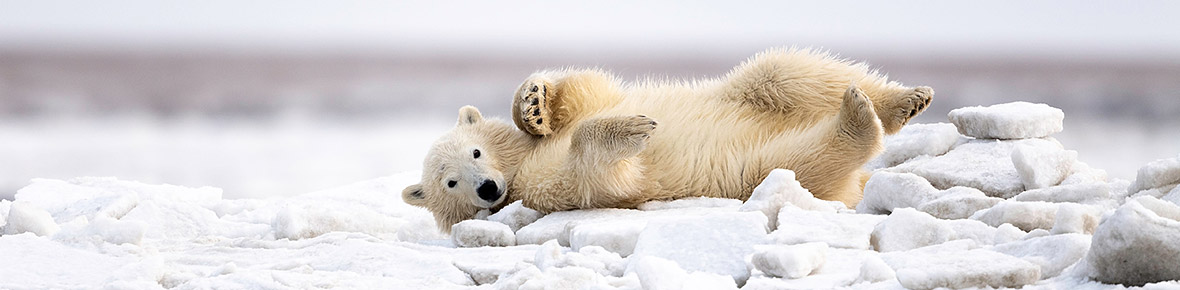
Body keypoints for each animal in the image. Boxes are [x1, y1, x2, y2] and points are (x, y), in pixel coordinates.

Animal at [403, 48, 929, 233]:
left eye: (475, 151)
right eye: (450, 183)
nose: (487, 188)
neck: (517, 164)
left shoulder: (586, 106)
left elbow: (587, 91)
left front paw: (533, 105)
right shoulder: (541, 191)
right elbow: (593, 176)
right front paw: (635, 130)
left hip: (748, 93)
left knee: (782, 72)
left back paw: (901, 100)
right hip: (748, 171)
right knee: (803, 160)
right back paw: (858, 120)